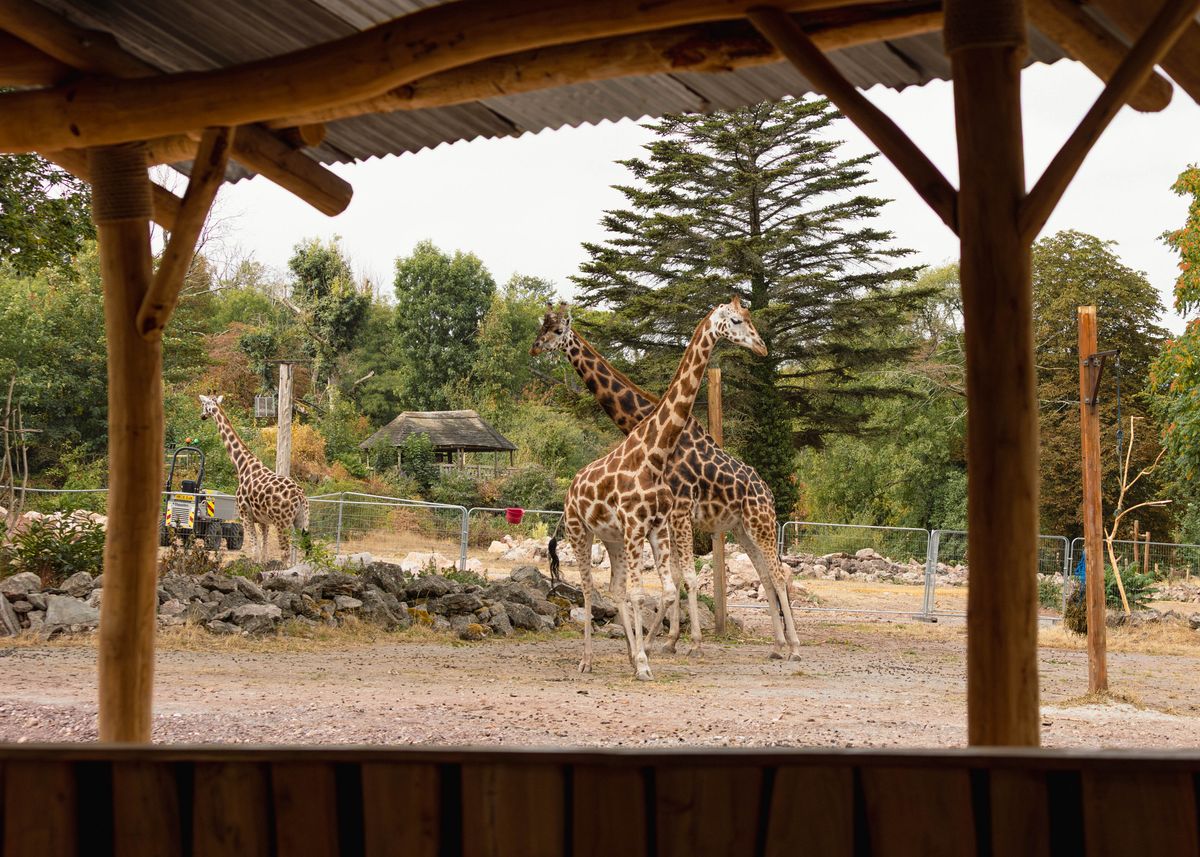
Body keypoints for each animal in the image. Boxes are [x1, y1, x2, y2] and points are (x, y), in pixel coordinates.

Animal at [199, 395, 309, 565]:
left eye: (204, 405)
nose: (202, 416)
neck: (242, 466)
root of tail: (301, 496)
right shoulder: (263, 520)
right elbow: (263, 550)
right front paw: (262, 565)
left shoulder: (245, 514)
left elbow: (254, 549)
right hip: (301, 521)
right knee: (301, 551)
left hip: (282, 522)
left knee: (285, 553)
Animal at [532, 303, 803, 661]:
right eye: (542, 329)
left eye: (557, 331)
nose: (536, 347)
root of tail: (767, 492)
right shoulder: (671, 517)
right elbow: (675, 576)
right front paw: (669, 639)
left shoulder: (679, 510)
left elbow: (685, 576)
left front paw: (683, 642)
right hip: (742, 529)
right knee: (766, 574)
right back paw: (777, 645)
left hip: (761, 523)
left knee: (778, 573)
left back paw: (794, 647)